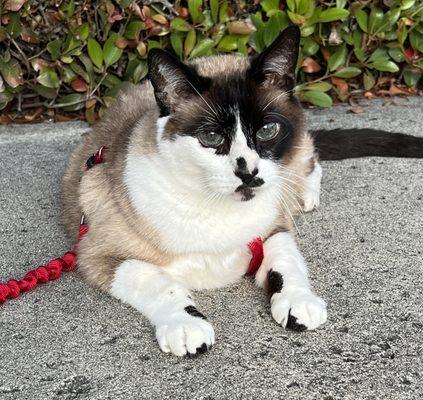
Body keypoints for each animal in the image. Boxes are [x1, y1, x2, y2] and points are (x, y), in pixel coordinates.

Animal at [62, 25, 423, 356]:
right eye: (210, 137)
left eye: (267, 130)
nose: (248, 172)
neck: (214, 209)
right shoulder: (98, 255)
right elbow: (159, 283)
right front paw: (186, 326)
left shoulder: (273, 229)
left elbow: (287, 262)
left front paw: (299, 301)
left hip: (295, 161)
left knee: (311, 158)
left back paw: (305, 196)